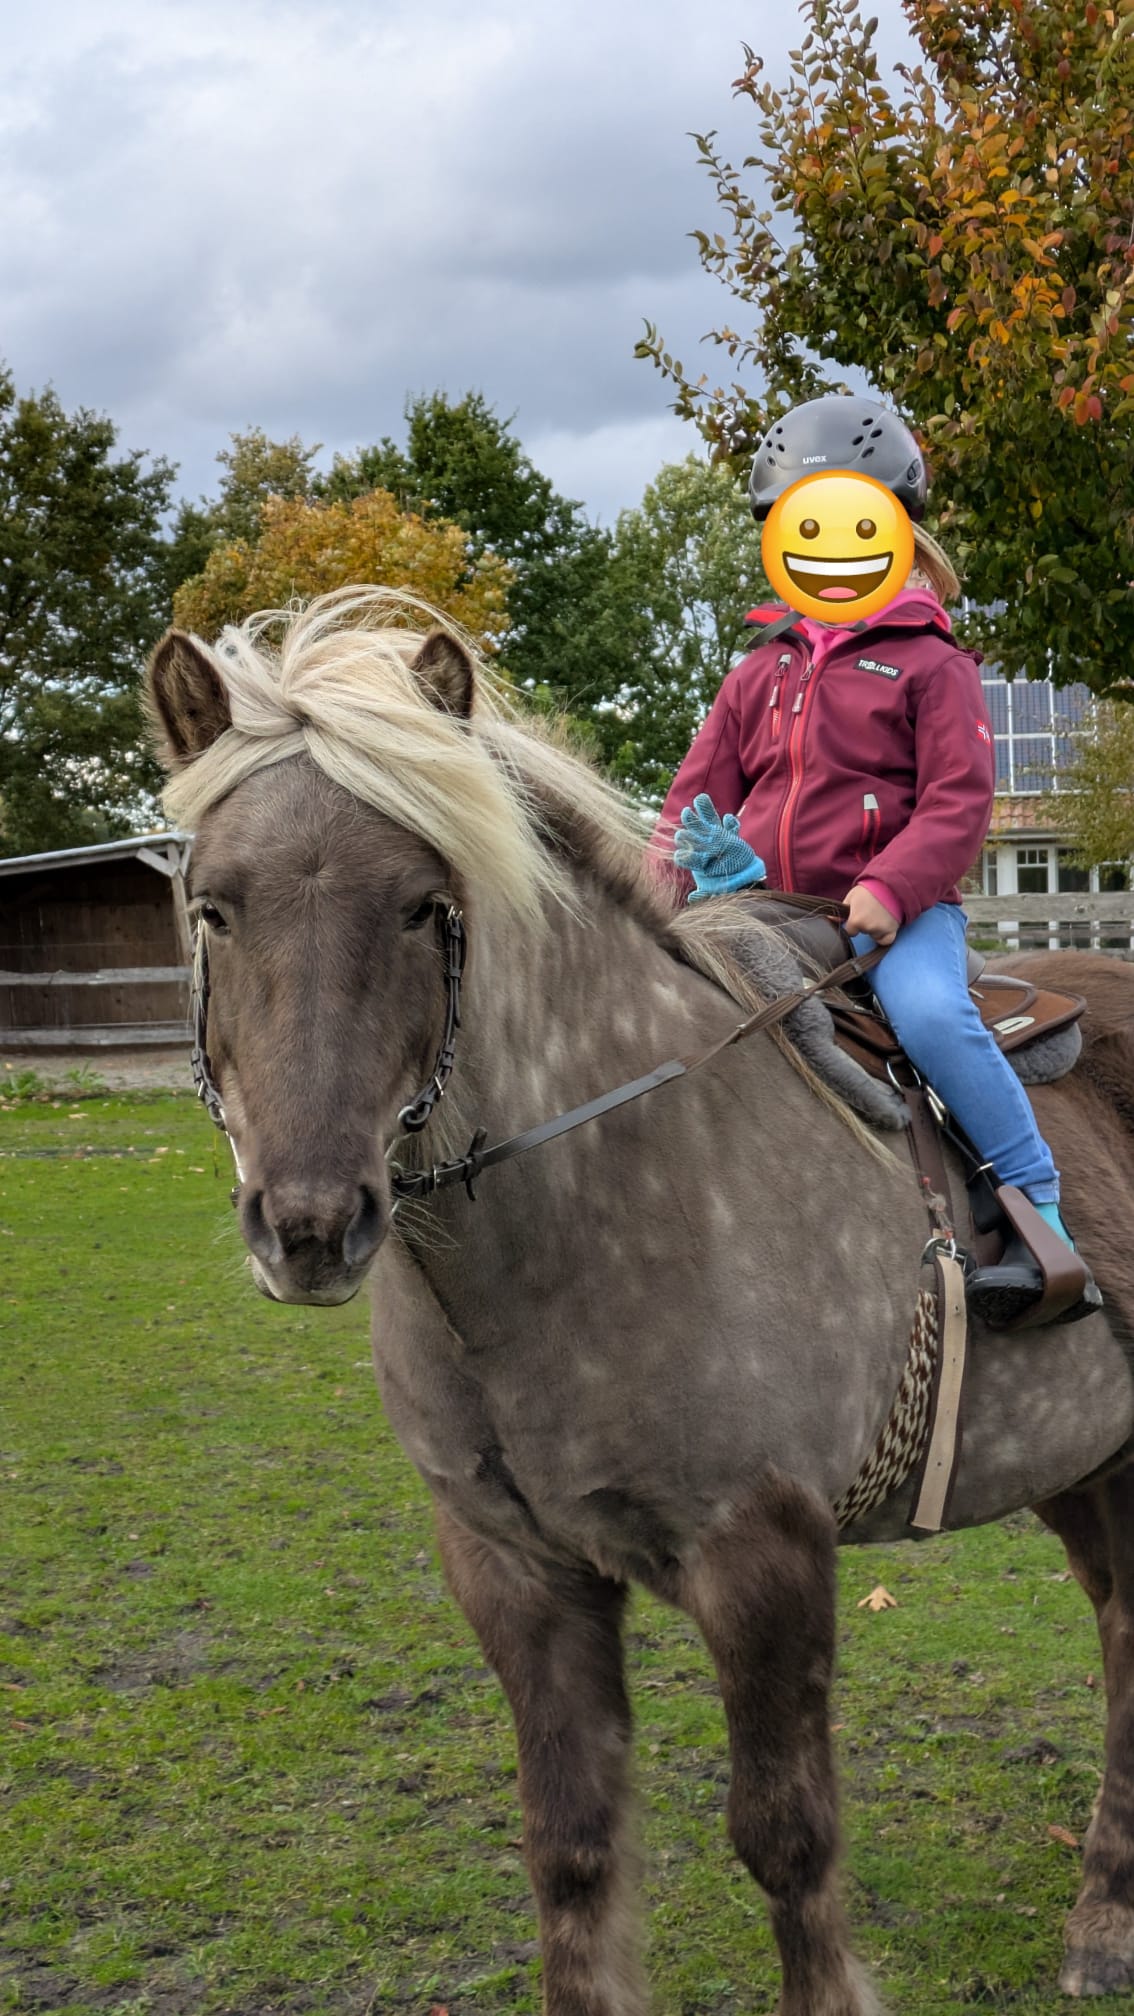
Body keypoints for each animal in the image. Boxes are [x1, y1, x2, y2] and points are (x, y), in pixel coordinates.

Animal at [147, 587, 1134, 2016]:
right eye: (214, 907)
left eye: (425, 905)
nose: (312, 1226)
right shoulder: (515, 1571)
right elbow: (571, 1851)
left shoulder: (763, 1555)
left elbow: (786, 1839)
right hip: (1087, 1462)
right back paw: (1108, 1911)